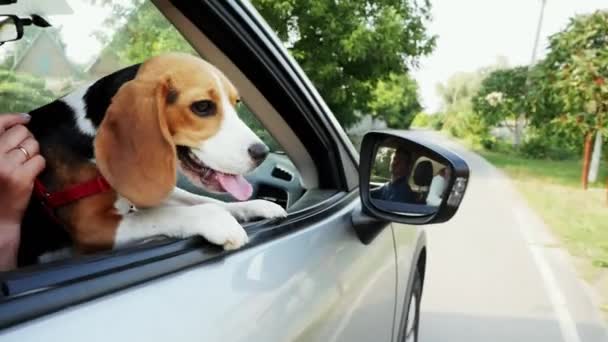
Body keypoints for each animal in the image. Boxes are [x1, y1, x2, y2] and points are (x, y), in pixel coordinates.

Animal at [19, 52, 284, 264]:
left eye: (235, 102)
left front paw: (254, 205)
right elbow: (161, 215)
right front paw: (219, 221)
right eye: (202, 106)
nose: (262, 153)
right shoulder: (92, 226)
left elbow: (203, 200)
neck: (88, 132)